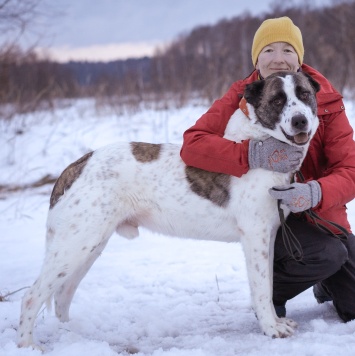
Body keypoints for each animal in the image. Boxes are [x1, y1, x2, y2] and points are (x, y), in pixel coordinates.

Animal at [18, 71, 322, 348]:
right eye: (278, 100)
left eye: (304, 94)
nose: (300, 120)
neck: (263, 143)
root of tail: (77, 164)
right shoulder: (255, 237)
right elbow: (260, 289)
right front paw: (271, 329)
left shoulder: (268, 236)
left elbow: (268, 286)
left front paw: (275, 322)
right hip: (75, 244)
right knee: (32, 295)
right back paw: (28, 345)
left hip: (89, 246)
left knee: (63, 294)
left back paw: (72, 336)